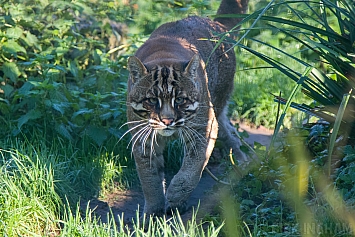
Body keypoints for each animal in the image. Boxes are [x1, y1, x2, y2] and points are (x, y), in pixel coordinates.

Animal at [125, 0, 250, 216]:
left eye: (180, 100)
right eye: (152, 100)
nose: (167, 121)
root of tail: (215, 24)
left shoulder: (204, 127)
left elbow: (192, 167)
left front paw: (175, 198)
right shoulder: (142, 136)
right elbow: (149, 176)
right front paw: (153, 209)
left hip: (217, 103)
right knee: (229, 130)